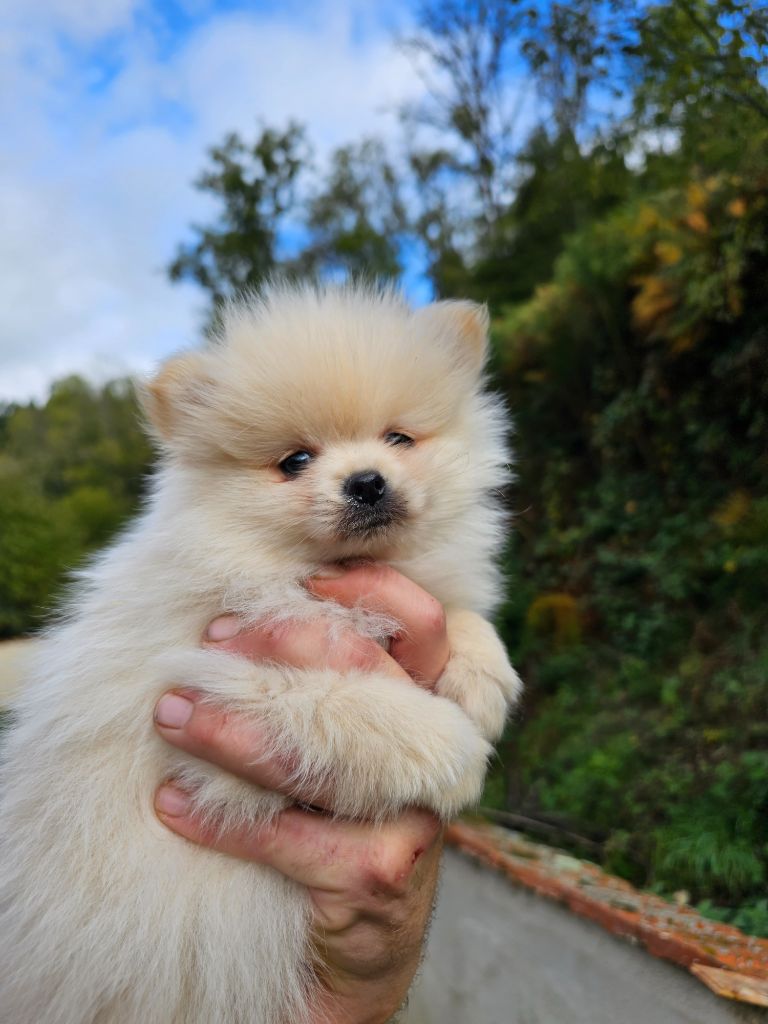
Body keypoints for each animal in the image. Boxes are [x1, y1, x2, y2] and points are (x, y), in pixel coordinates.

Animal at [0, 283, 521, 1023]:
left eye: (399, 438)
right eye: (295, 461)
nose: (367, 481)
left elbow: (458, 614)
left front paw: (482, 676)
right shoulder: (205, 691)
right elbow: (340, 703)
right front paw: (450, 749)